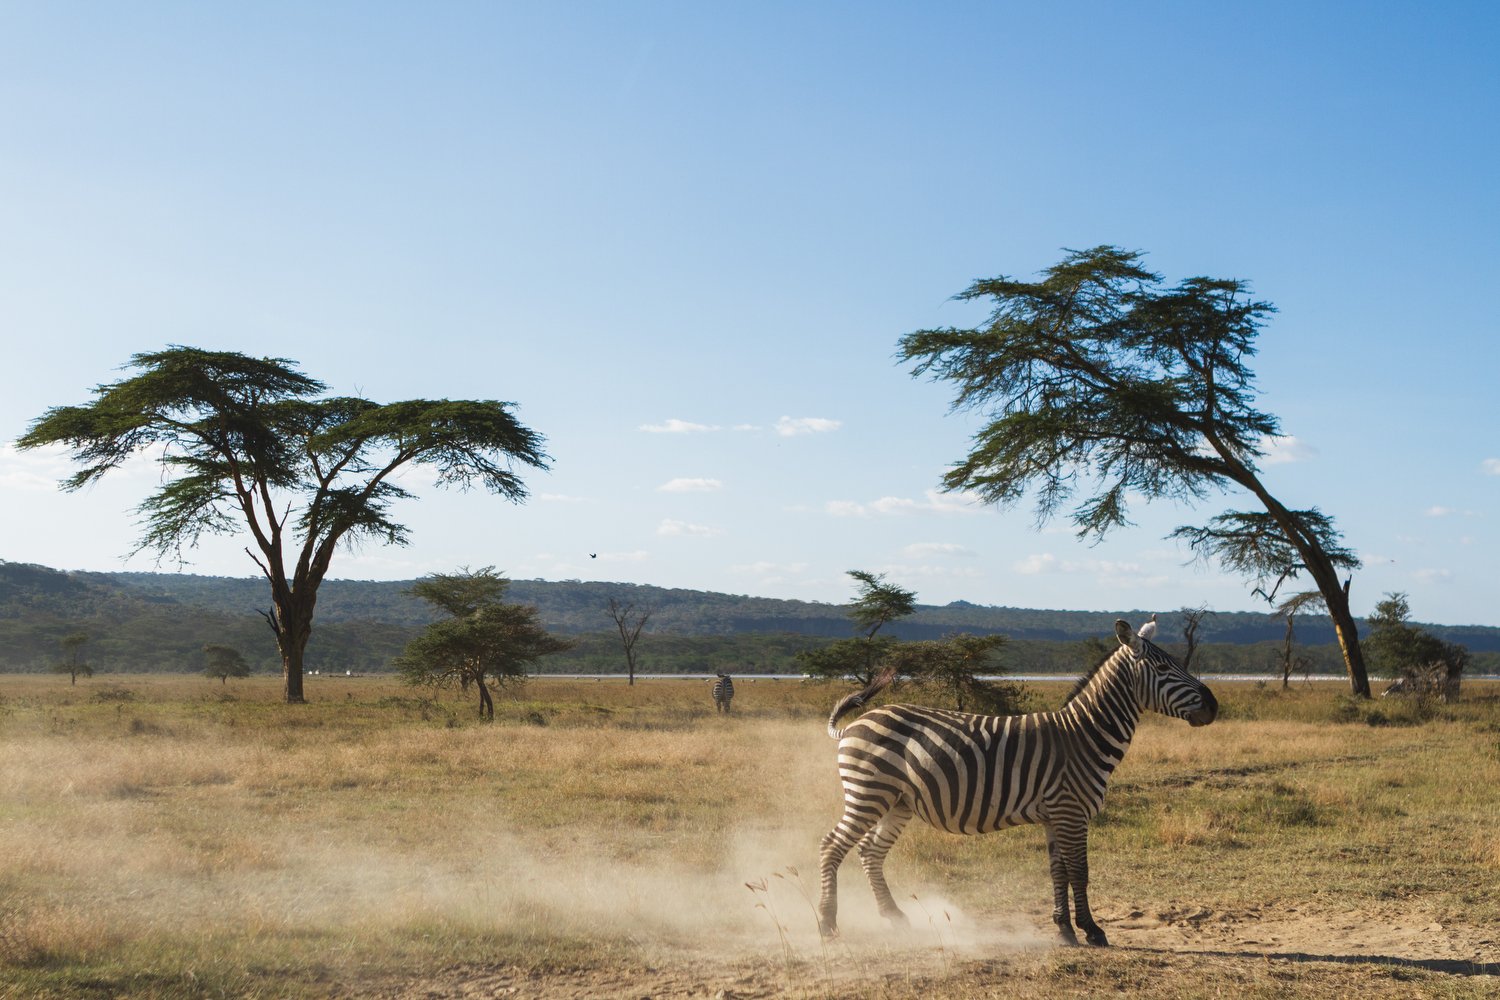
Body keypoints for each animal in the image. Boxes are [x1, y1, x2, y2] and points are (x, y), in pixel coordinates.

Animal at [817, 619, 1217, 947]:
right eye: (1164, 667)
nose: (1213, 707)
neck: (1083, 737)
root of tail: (853, 725)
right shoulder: (1072, 811)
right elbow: (1080, 872)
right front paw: (1092, 930)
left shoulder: (1056, 816)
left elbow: (1059, 871)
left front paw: (1064, 929)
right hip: (868, 793)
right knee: (832, 846)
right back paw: (827, 923)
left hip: (897, 801)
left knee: (870, 852)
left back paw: (894, 916)